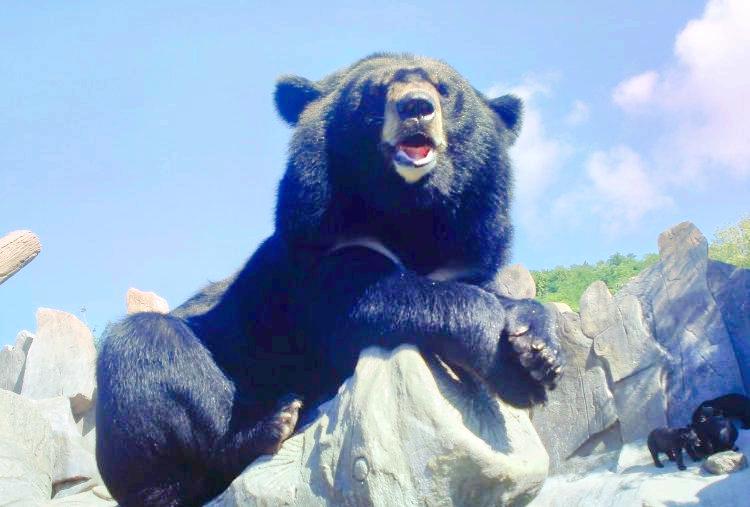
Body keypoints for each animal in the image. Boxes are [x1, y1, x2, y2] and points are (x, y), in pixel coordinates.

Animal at [95, 53, 564, 507]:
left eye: (443, 90)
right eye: (376, 91)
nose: (416, 107)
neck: (409, 212)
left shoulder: (469, 246)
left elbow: (487, 292)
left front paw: (540, 351)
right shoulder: (321, 252)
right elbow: (369, 304)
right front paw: (516, 375)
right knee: (146, 351)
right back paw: (268, 428)